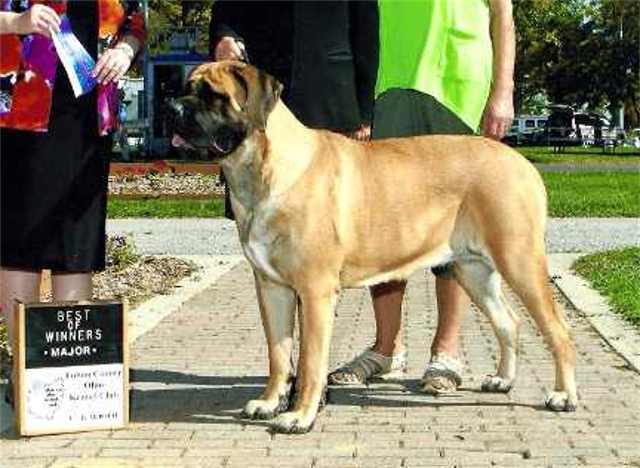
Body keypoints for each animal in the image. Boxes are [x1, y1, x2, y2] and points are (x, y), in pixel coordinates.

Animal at [169, 61, 578, 434]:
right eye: (187, 87)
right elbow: (279, 354)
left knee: (558, 330)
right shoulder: (272, 288)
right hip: (472, 269)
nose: (172, 107)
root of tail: (521, 162)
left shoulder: (315, 292)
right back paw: (502, 380)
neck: (263, 171)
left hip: (519, 259)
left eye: (214, 95)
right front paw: (269, 402)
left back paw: (564, 396)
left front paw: (300, 416)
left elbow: (311, 360)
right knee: (509, 321)